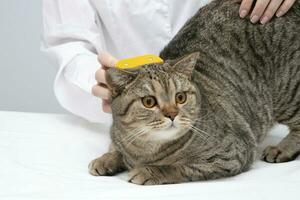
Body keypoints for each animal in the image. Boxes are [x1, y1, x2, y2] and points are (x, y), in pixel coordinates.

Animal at [89, 0, 300, 185]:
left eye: (180, 97)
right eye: (149, 102)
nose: (172, 114)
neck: (144, 151)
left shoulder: (232, 153)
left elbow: (179, 167)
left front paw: (149, 171)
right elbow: (116, 148)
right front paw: (107, 158)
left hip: (288, 92)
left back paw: (282, 149)